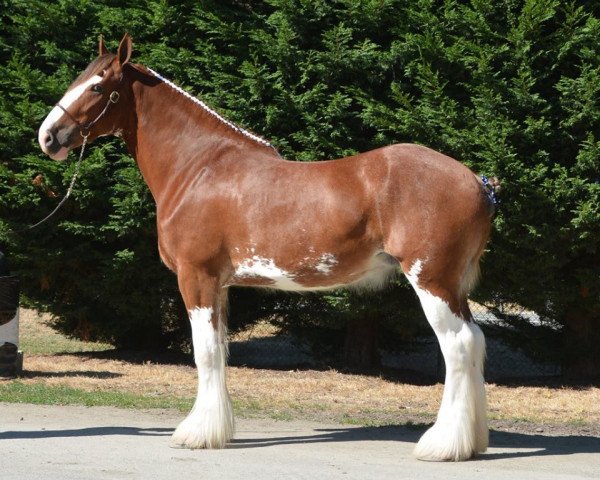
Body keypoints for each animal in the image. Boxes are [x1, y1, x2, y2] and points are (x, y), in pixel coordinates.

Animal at [37, 34, 496, 462]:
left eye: (97, 86)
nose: (48, 136)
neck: (199, 168)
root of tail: (478, 183)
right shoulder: (220, 285)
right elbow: (220, 352)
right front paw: (217, 429)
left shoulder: (197, 277)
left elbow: (204, 353)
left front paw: (196, 434)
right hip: (453, 287)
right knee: (475, 340)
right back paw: (470, 442)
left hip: (431, 280)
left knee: (458, 346)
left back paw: (441, 445)